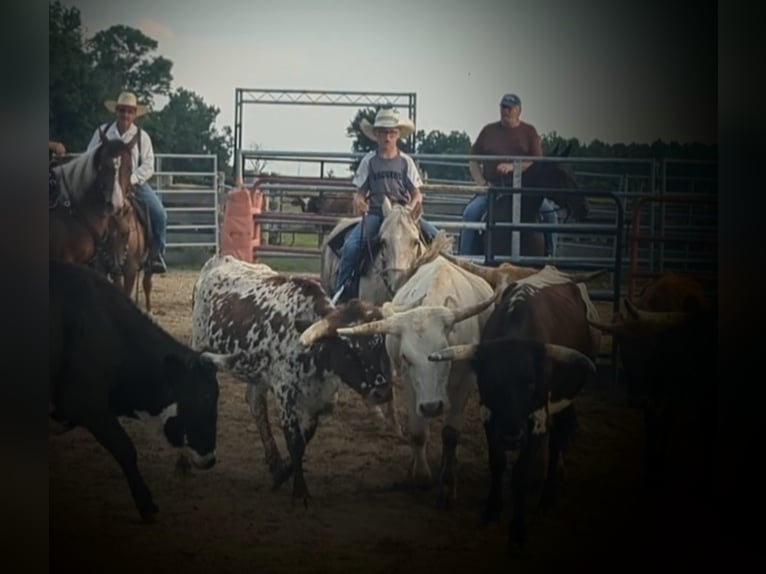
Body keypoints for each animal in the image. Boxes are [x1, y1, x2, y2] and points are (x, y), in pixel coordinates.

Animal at [192, 256, 396, 508]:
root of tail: (219, 259)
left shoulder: (318, 400)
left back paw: (274, 462)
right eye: (350, 351)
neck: (312, 351)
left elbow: (304, 439)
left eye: (379, 345)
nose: (382, 392)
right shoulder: (285, 393)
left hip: (258, 375)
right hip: (199, 345)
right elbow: (295, 441)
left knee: (256, 405)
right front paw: (300, 491)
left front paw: (282, 475)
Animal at [428, 268, 604, 556]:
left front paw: (518, 531)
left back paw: (547, 498)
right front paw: (491, 511)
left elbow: (522, 473)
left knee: (558, 439)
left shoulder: (537, 417)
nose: (511, 437)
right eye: (490, 382)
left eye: (530, 383)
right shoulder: (488, 415)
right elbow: (497, 462)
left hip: (561, 402)